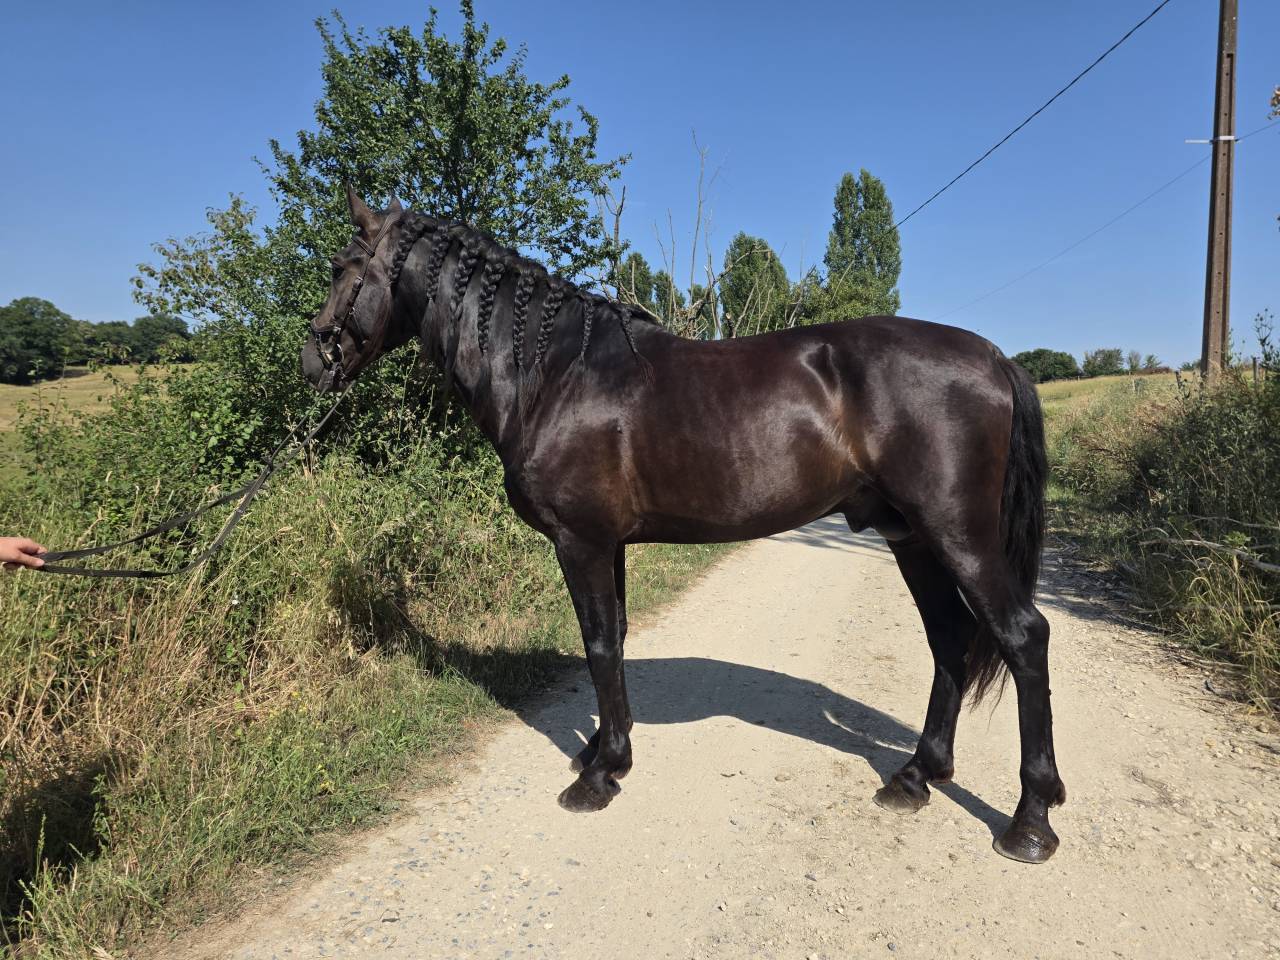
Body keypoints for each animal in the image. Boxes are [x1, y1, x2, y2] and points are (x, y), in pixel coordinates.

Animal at [301, 188, 1067, 864]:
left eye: (343, 267)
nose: (313, 359)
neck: (555, 374)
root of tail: (994, 357)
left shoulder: (581, 542)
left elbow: (599, 645)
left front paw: (599, 775)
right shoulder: (608, 545)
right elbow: (611, 641)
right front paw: (602, 750)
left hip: (957, 534)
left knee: (1022, 637)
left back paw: (1029, 822)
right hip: (911, 538)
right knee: (950, 638)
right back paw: (915, 777)